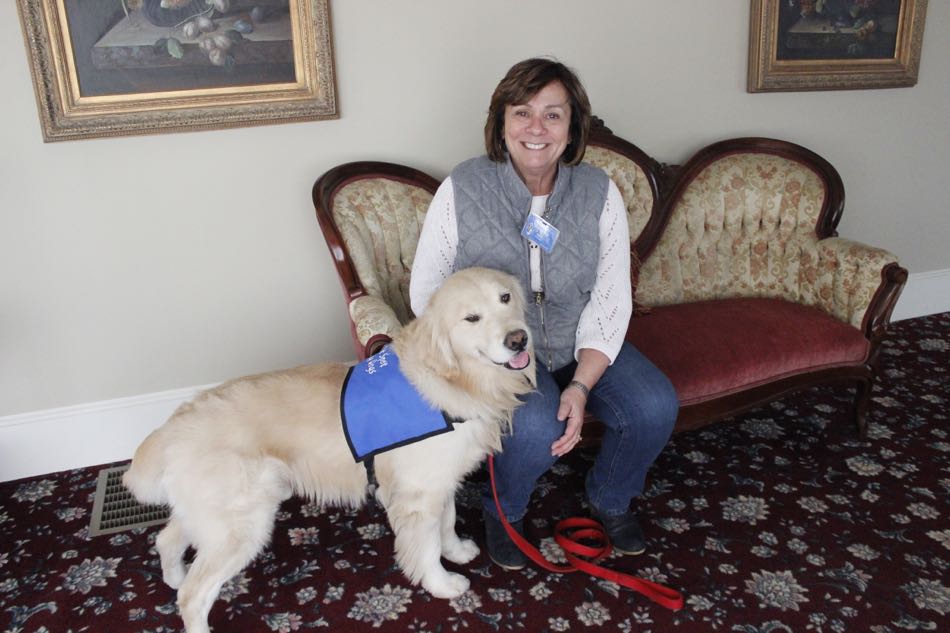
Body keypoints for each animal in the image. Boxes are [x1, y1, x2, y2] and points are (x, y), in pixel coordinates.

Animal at [122, 266, 536, 632]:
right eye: (471, 318)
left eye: (505, 298)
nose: (519, 339)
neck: (456, 381)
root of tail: (172, 426)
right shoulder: (416, 498)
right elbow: (426, 547)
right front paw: (444, 584)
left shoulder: (440, 482)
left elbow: (447, 523)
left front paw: (457, 551)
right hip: (242, 524)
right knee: (193, 596)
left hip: (214, 512)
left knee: (166, 538)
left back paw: (174, 575)